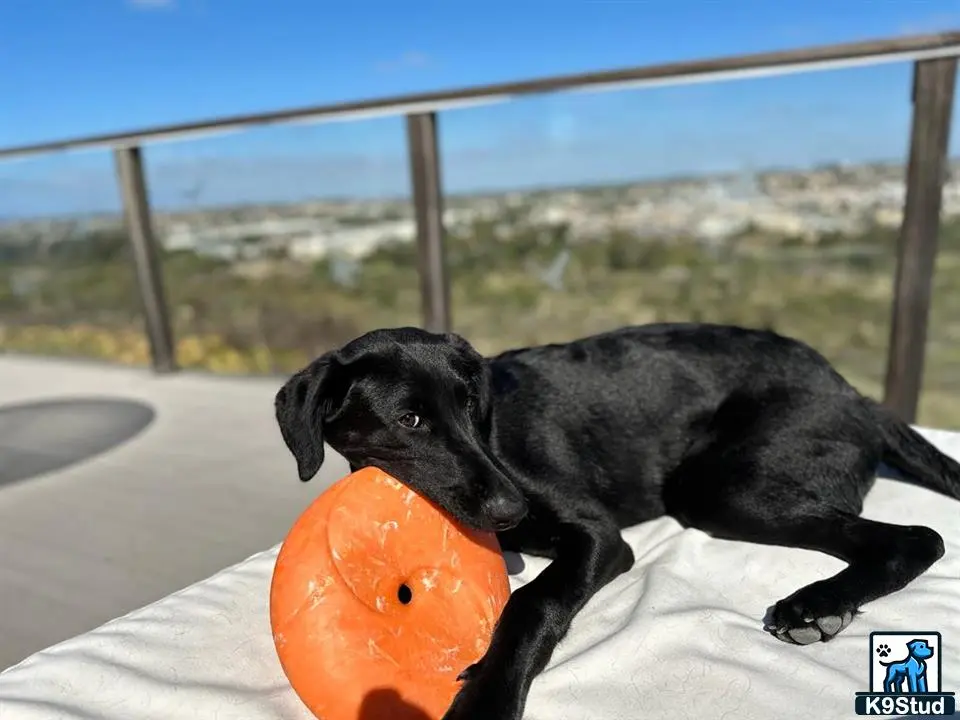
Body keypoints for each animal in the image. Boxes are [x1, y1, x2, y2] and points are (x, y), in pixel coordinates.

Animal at [272, 324, 960, 716]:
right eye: (410, 421)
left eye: (474, 409)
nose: (511, 511)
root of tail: (855, 395)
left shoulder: (599, 535)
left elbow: (534, 600)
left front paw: (489, 696)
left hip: (717, 488)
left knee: (918, 538)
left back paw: (816, 605)